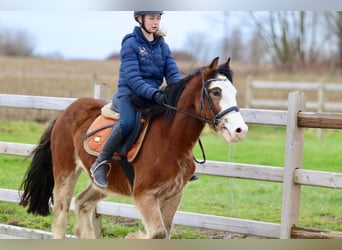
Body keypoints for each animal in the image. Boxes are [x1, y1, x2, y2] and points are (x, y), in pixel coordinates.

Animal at [18, 56, 247, 238]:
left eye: (234, 91)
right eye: (216, 92)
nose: (240, 130)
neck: (170, 140)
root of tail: (65, 112)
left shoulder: (173, 195)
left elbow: (165, 233)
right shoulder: (145, 196)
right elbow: (157, 233)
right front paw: (134, 237)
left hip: (103, 183)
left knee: (82, 204)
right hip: (65, 172)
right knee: (61, 217)